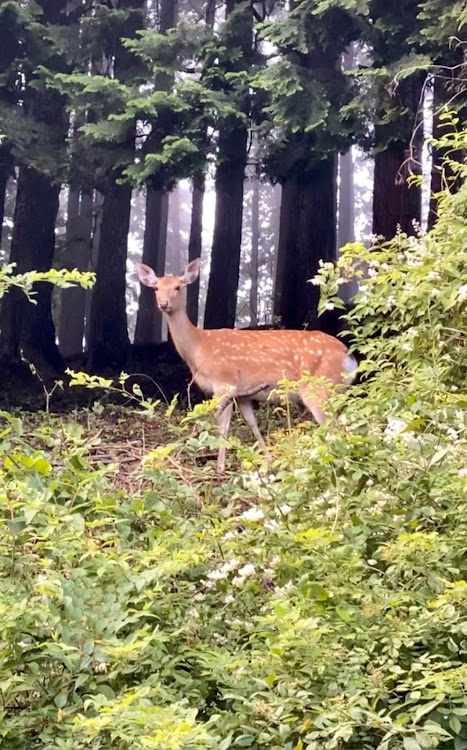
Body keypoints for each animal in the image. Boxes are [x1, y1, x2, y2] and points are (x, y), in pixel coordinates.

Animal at [137, 258, 356, 470]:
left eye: (178, 287)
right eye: (156, 287)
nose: (163, 303)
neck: (200, 348)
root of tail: (349, 359)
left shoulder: (224, 382)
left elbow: (222, 424)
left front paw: (220, 467)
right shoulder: (243, 394)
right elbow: (252, 423)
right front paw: (268, 459)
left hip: (319, 388)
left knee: (333, 427)